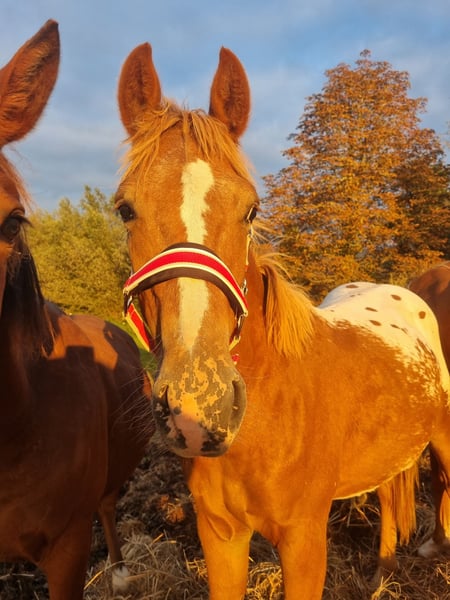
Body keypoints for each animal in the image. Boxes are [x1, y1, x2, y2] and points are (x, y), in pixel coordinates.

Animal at [115, 43, 450, 599]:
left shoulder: (303, 542)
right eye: (125, 209)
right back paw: (382, 572)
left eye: (251, 209)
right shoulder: (221, 537)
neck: (270, 412)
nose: (199, 402)